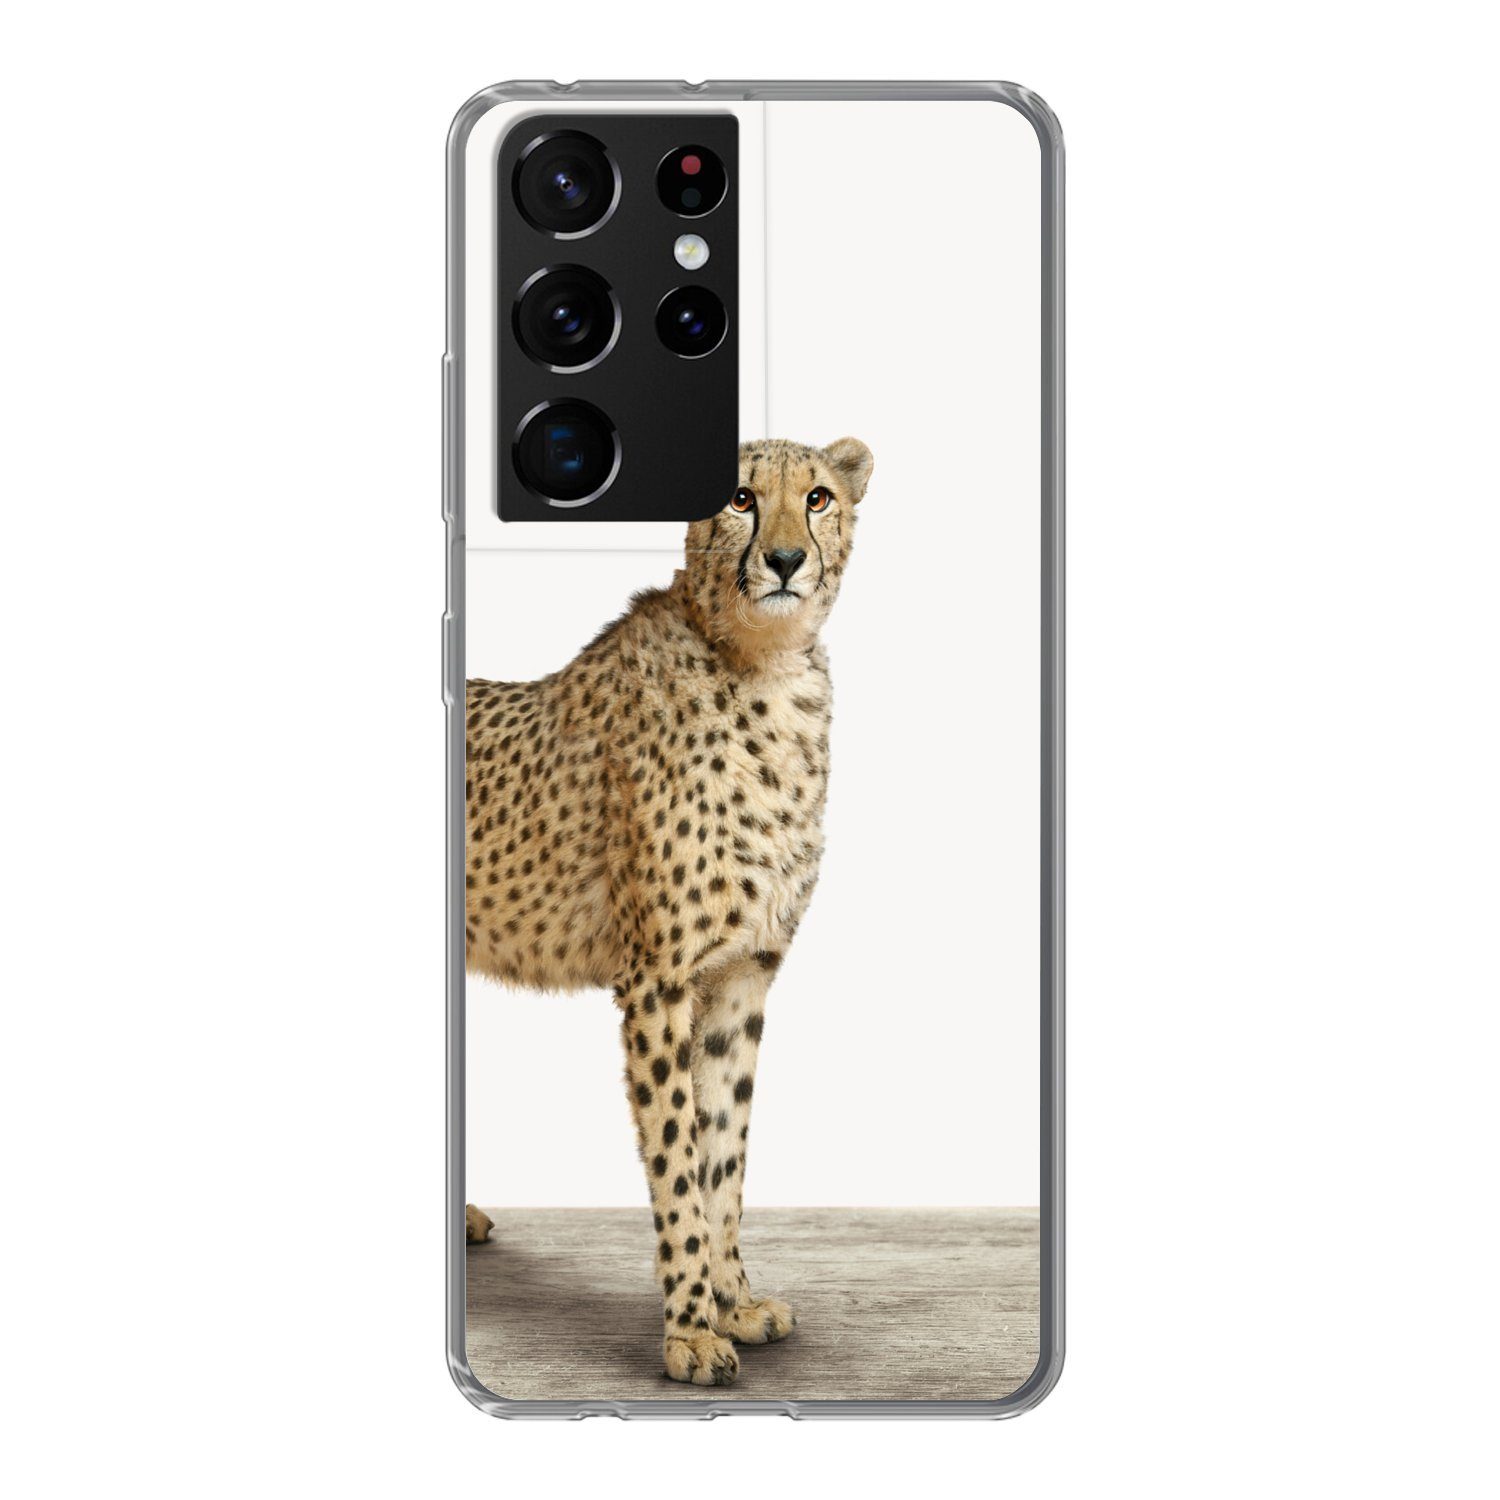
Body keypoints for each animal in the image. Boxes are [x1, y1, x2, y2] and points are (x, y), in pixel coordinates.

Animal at [464, 435, 874, 1386]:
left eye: (819, 497)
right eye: (739, 498)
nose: (786, 559)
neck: (764, 671)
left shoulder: (741, 975)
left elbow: (725, 1148)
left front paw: (734, 1300)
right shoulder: (656, 980)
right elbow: (678, 1160)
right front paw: (688, 1330)